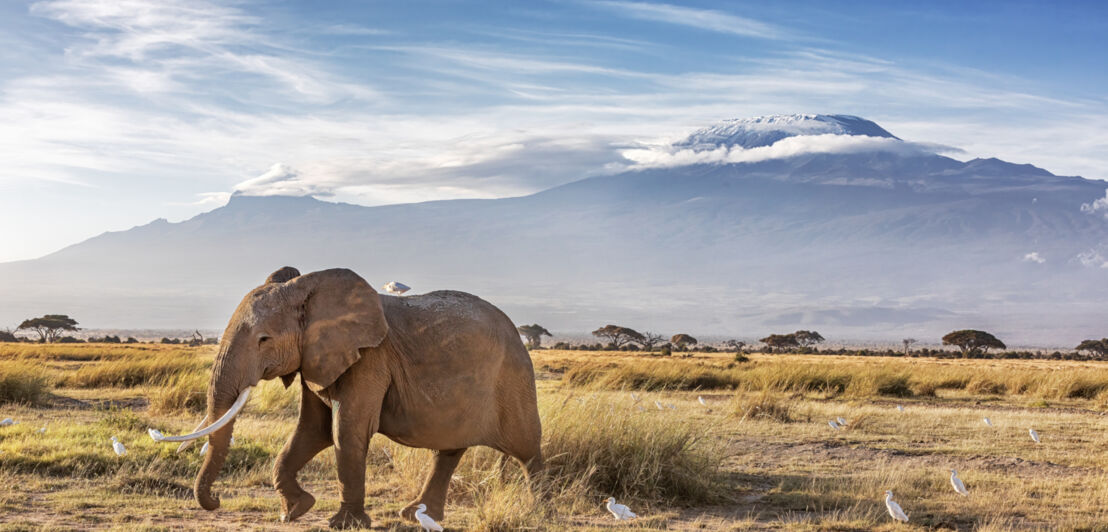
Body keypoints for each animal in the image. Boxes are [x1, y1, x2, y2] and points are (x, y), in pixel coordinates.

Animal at [158, 268, 542, 529]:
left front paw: (344, 524)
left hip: (513, 378)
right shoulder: (316, 359)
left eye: (264, 339)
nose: (216, 499)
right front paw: (294, 511)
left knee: (526, 448)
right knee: (448, 450)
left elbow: (347, 430)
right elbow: (312, 431)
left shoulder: (370, 359)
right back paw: (415, 515)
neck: (308, 290)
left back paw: (540, 509)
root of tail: (518, 333)